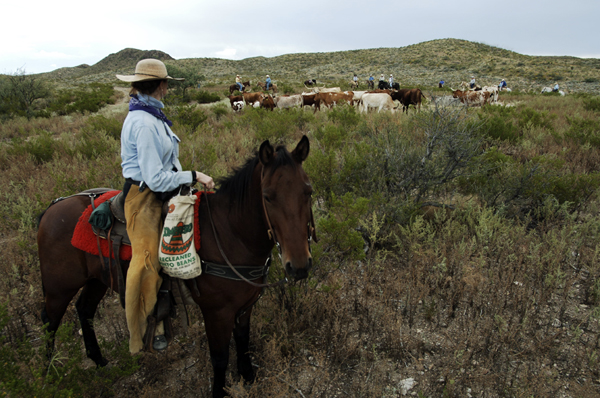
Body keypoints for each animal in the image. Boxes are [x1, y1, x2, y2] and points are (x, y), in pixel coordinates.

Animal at [38, 136, 314, 394]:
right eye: (267, 196)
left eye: (308, 192)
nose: (299, 266)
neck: (231, 234)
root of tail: (53, 207)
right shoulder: (217, 313)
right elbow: (220, 357)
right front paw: (220, 390)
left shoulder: (245, 306)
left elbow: (243, 342)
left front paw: (248, 378)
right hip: (59, 288)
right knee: (50, 323)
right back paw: (46, 377)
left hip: (98, 279)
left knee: (84, 310)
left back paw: (100, 362)